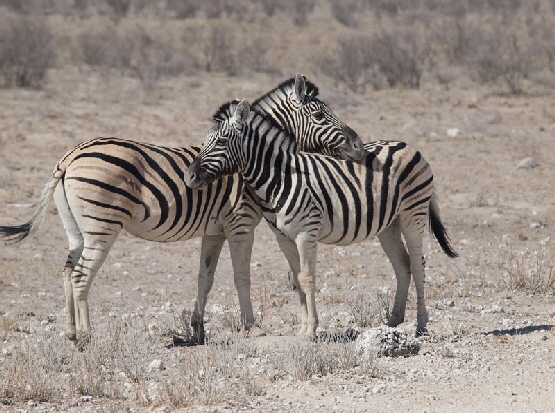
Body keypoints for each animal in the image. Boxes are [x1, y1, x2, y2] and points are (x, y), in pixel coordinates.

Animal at [0, 74, 364, 344]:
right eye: (319, 115)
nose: (359, 147)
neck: (256, 161)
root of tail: (70, 155)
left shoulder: (214, 231)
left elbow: (205, 278)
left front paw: (197, 330)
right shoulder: (240, 224)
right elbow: (241, 277)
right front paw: (251, 327)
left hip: (77, 229)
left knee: (66, 272)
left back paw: (72, 332)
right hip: (102, 225)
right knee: (80, 275)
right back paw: (87, 338)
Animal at [185, 98, 458, 336]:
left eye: (221, 141)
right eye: (205, 141)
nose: (189, 177)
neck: (280, 178)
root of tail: (407, 145)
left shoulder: (306, 233)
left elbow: (308, 279)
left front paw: (311, 330)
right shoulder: (283, 238)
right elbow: (297, 280)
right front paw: (303, 328)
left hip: (413, 214)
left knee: (418, 263)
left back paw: (421, 325)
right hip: (388, 225)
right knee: (403, 265)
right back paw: (393, 321)